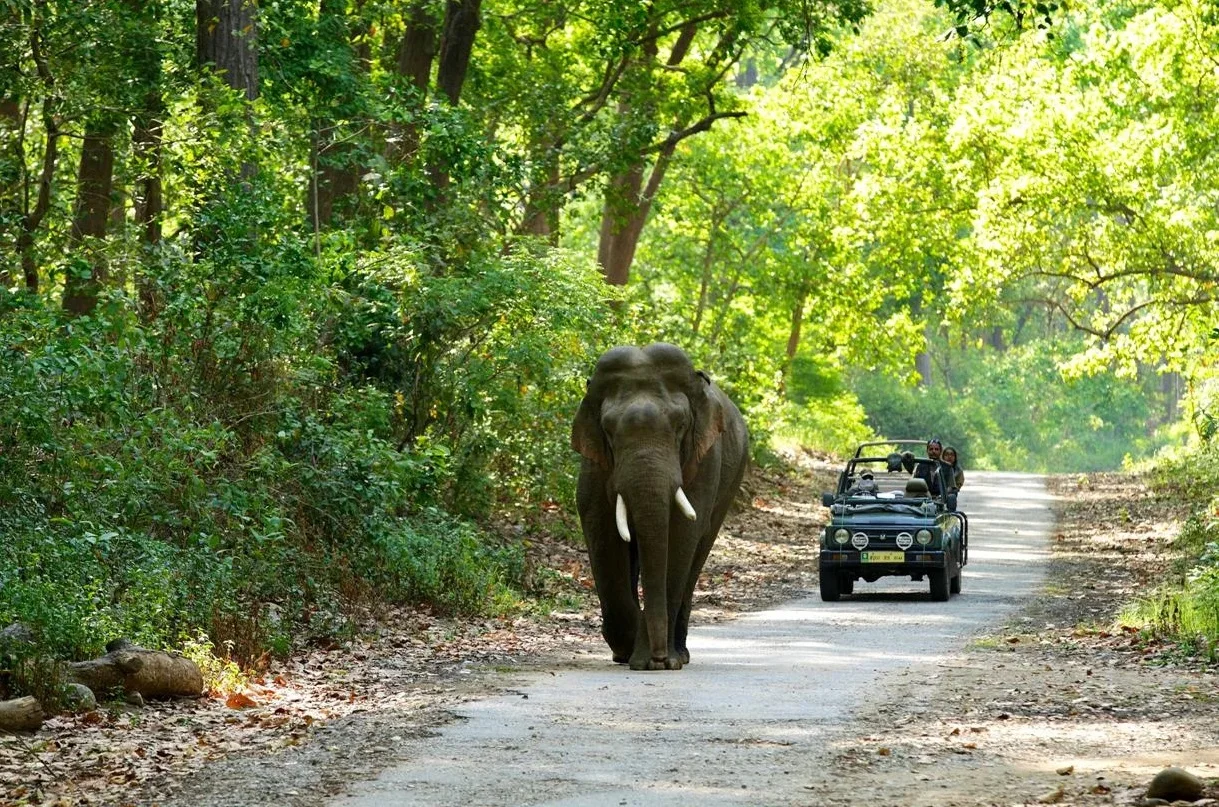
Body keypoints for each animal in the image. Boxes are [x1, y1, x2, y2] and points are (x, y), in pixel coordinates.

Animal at [568, 343, 741, 668]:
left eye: (681, 426)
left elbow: (681, 535)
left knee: (696, 559)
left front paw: (657, 661)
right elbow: (602, 531)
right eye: (608, 430)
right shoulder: (594, 464)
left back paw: (680, 654)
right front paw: (632, 651)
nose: (659, 657)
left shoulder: (704, 461)